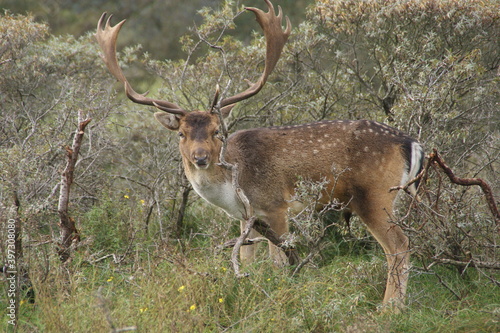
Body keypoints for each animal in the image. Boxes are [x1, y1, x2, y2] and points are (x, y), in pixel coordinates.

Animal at [94, 0, 422, 308]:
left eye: (217, 131)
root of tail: (411, 143)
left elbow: (279, 261)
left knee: (399, 244)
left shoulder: (276, 205)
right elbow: (245, 258)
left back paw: (390, 307)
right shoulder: (246, 218)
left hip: (373, 194)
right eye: (180, 134)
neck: (231, 185)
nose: (200, 158)